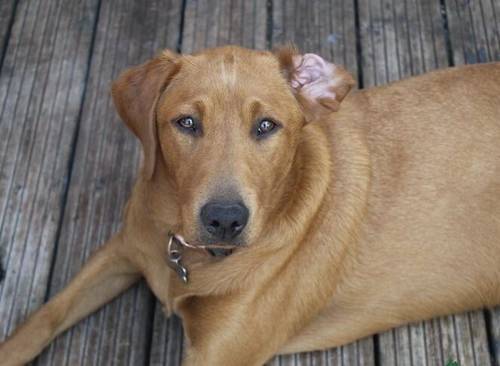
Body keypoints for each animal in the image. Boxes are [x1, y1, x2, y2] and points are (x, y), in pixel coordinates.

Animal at [0, 46, 500, 366]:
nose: (225, 219)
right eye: (187, 122)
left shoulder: (217, 355)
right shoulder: (124, 249)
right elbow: (43, 317)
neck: (186, 257)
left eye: (266, 126)